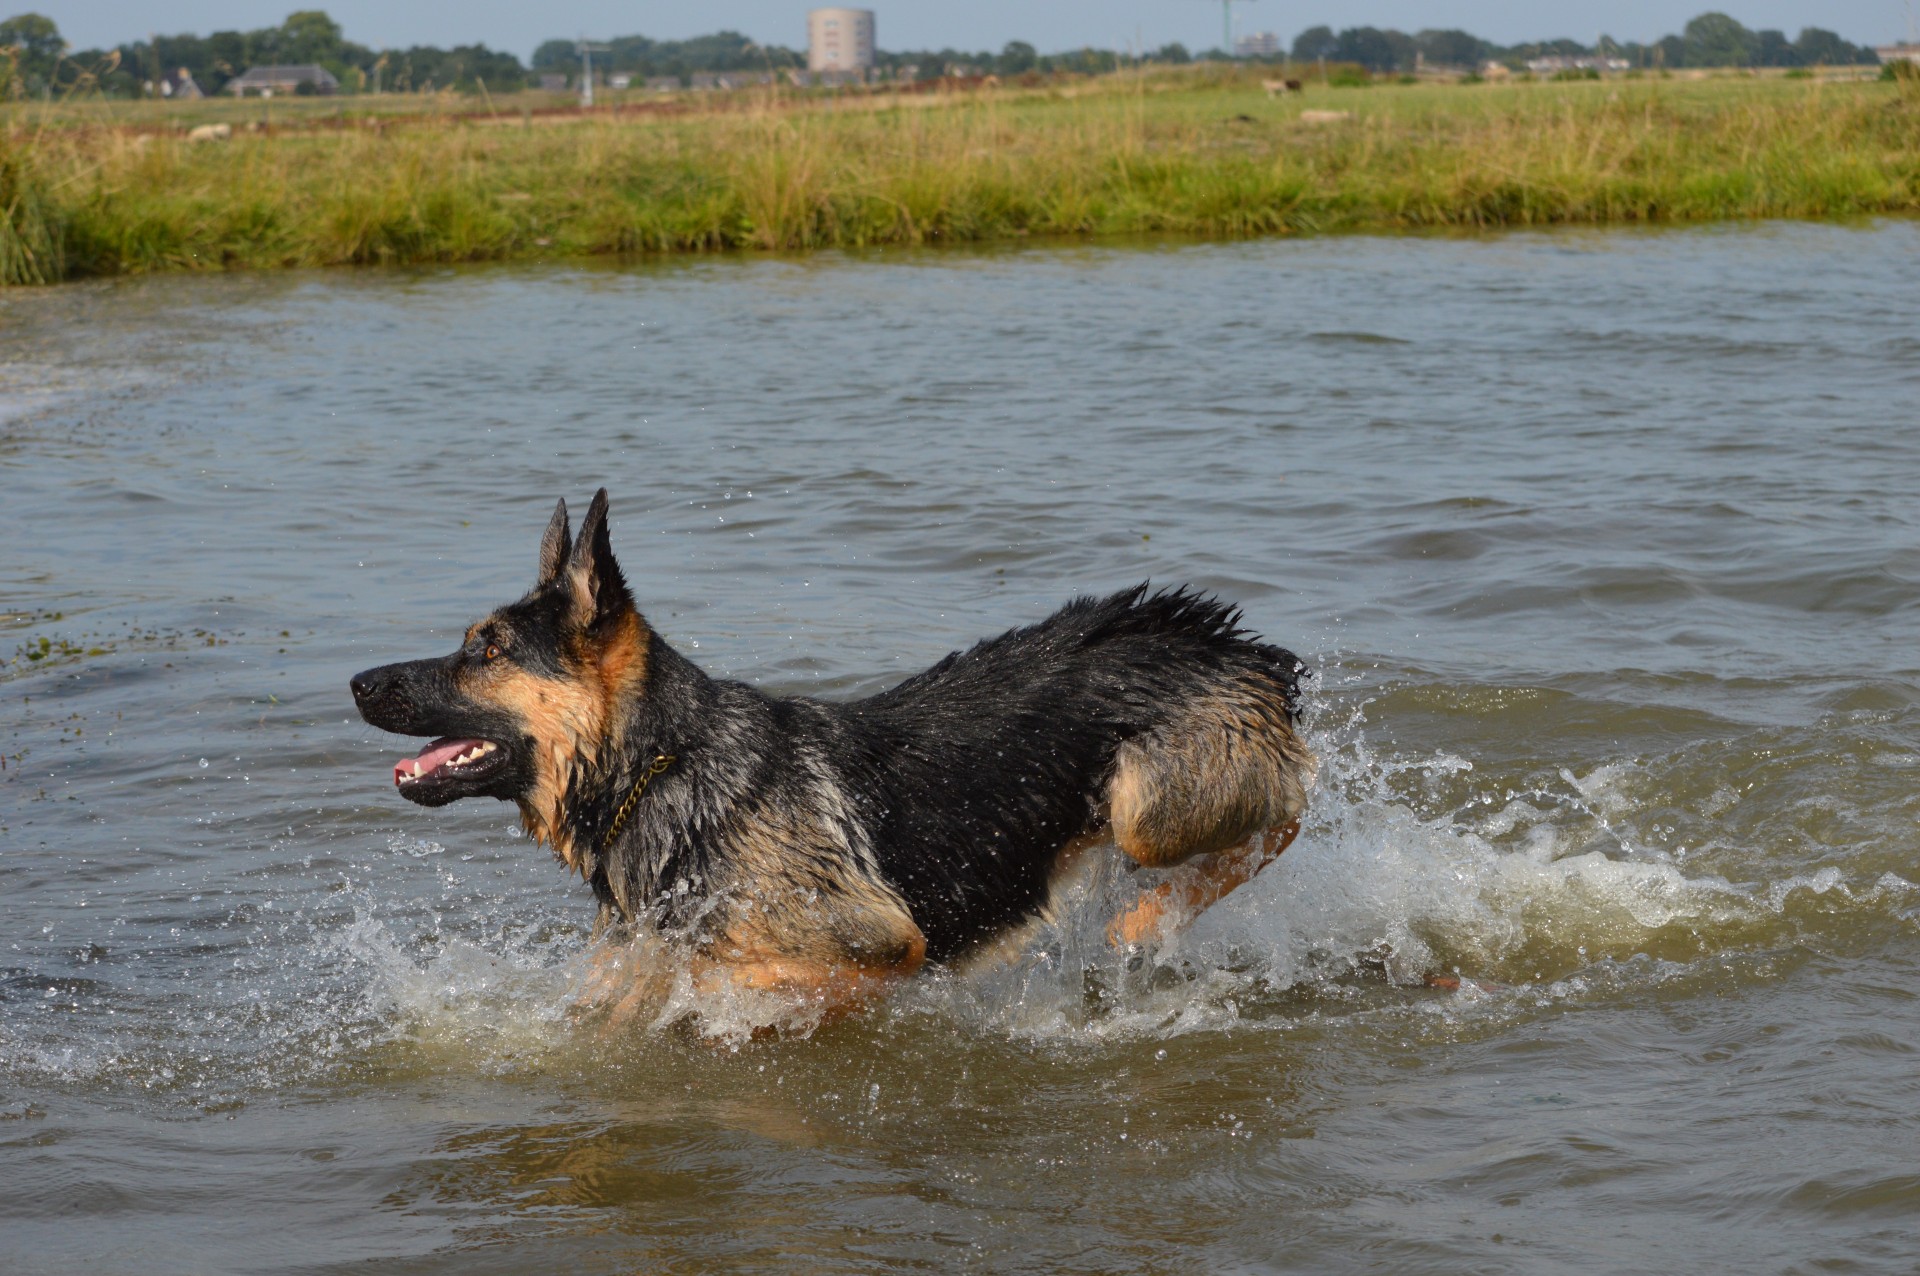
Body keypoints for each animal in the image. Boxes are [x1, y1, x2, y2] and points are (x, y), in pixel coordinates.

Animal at [349, 491, 1320, 1020]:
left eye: (487, 650)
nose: (358, 682)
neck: (666, 765)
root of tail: (1230, 641)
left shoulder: (883, 947)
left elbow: (742, 982)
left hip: (1148, 810)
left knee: (1287, 815)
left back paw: (1147, 920)